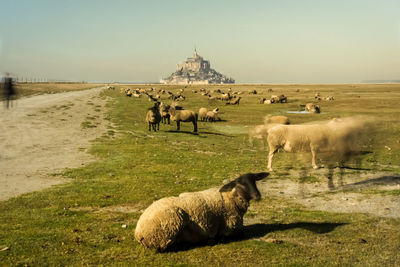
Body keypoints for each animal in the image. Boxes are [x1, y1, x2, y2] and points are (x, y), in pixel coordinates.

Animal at [134, 173, 268, 252]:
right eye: (240, 184)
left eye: (254, 181)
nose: (258, 195)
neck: (231, 198)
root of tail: (139, 233)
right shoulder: (229, 228)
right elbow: (238, 234)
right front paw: (215, 239)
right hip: (170, 224)